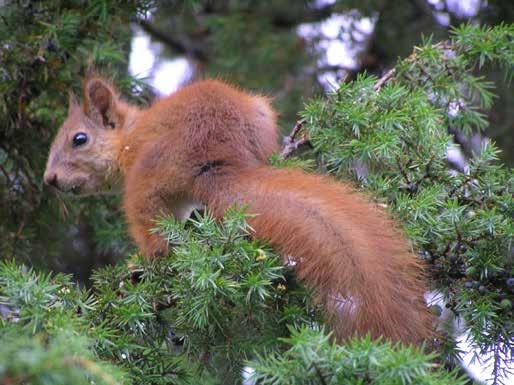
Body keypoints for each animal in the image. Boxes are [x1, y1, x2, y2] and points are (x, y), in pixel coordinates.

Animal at [44, 76, 430, 344]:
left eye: (79, 139)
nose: (50, 179)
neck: (128, 137)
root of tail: (219, 157)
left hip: (145, 185)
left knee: (156, 238)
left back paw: (141, 267)